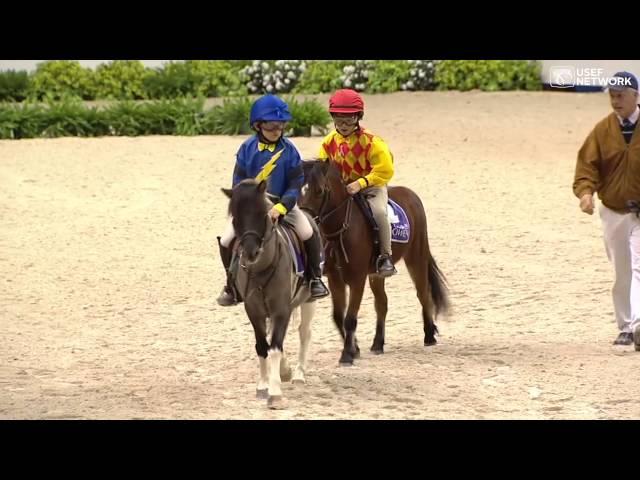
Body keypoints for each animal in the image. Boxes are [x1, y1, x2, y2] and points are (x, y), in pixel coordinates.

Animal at [300, 159, 450, 366]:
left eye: (320, 191)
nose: (305, 222)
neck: (341, 231)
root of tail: (411, 195)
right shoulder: (335, 279)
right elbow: (338, 317)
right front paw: (355, 349)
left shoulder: (357, 279)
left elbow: (350, 318)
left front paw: (347, 354)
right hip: (377, 274)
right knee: (382, 303)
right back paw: (378, 343)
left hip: (416, 257)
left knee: (423, 294)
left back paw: (429, 335)